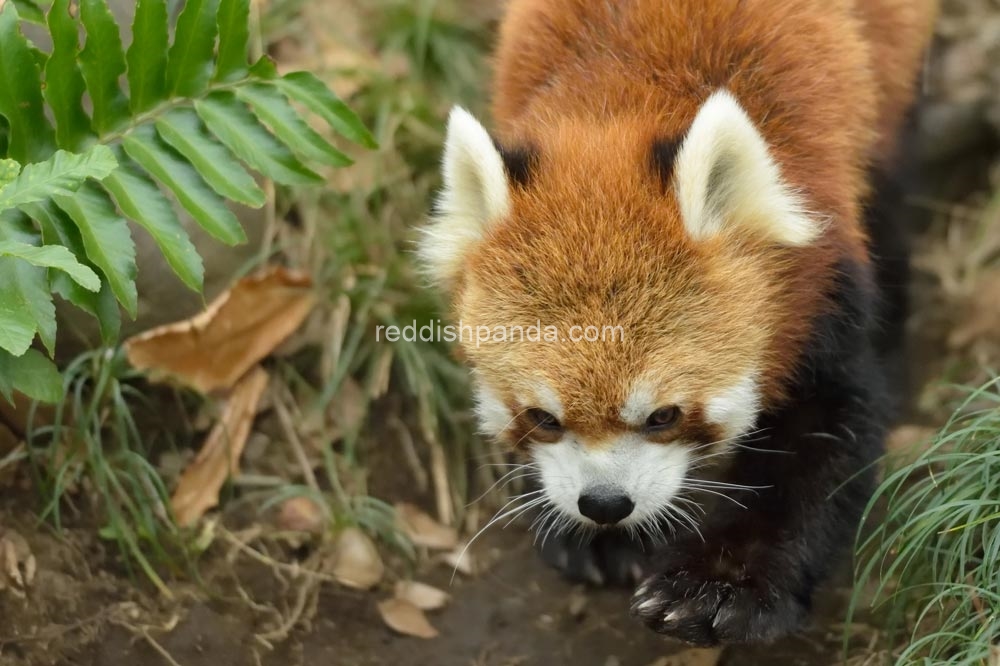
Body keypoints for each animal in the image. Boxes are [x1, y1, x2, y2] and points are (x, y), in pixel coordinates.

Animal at [418, 0, 932, 644]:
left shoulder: (820, 275)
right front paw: (590, 538)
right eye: (542, 418)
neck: (617, 106)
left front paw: (719, 587)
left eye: (664, 416)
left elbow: (828, 436)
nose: (604, 504)